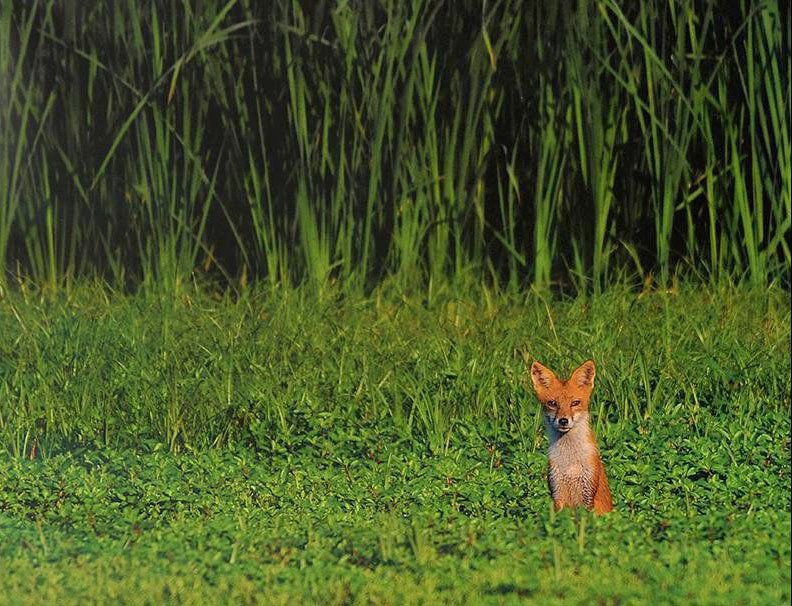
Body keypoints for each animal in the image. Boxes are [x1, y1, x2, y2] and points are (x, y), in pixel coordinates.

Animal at [527, 358, 613, 515]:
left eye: (575, 403)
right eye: (553, 403)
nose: (563, 421)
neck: (570, 464)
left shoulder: (588, 494)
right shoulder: (557, 492)